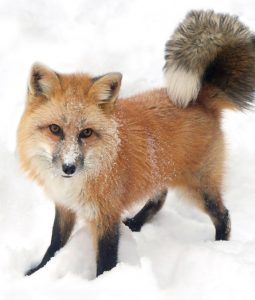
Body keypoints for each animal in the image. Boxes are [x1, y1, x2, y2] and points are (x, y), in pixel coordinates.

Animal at [17, 9, 255, 276]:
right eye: (55, 129)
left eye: (86, 133)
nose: (69, 168)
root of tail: (201, 96)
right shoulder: (65, 205)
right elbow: (55, 243)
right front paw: (38, 272)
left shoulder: (106, 214)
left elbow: (106, 260)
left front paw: (105, 282)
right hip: (162, 171)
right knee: (159, 199)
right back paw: (136, 223)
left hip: (197, 187)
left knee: (223, 215)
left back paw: (220, 246)